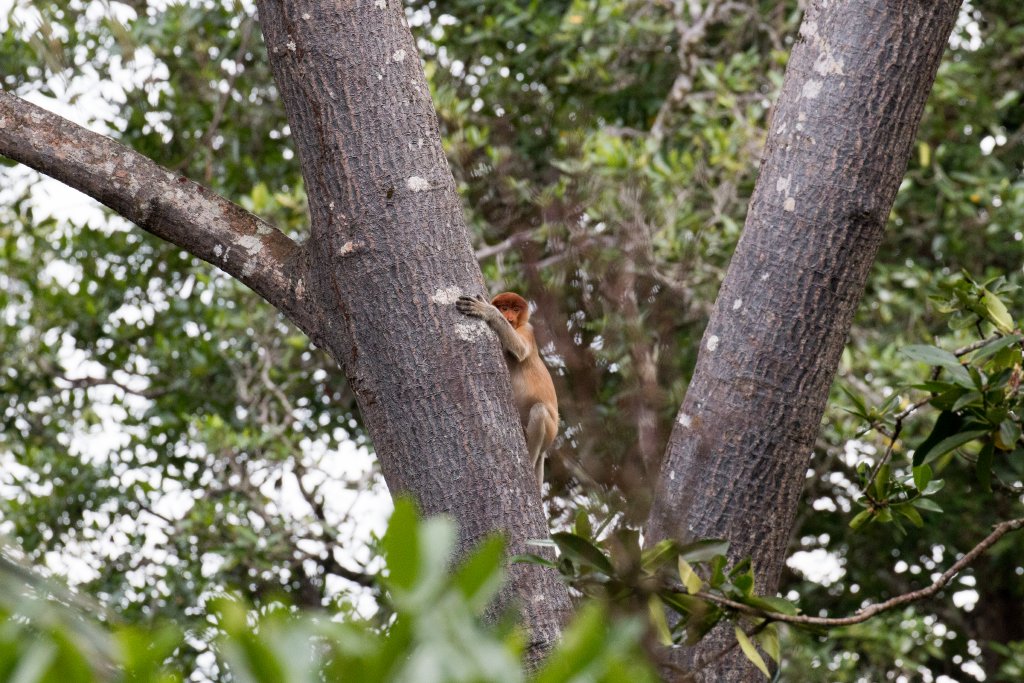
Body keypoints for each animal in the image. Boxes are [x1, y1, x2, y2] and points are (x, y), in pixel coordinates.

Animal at [456, 292, 558, 491]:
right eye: (505, 308)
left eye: (515, 309)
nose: (509, 318)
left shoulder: (527, 330)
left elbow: (520, 349)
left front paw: (486, 310)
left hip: (551, 431)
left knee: (539, 411)